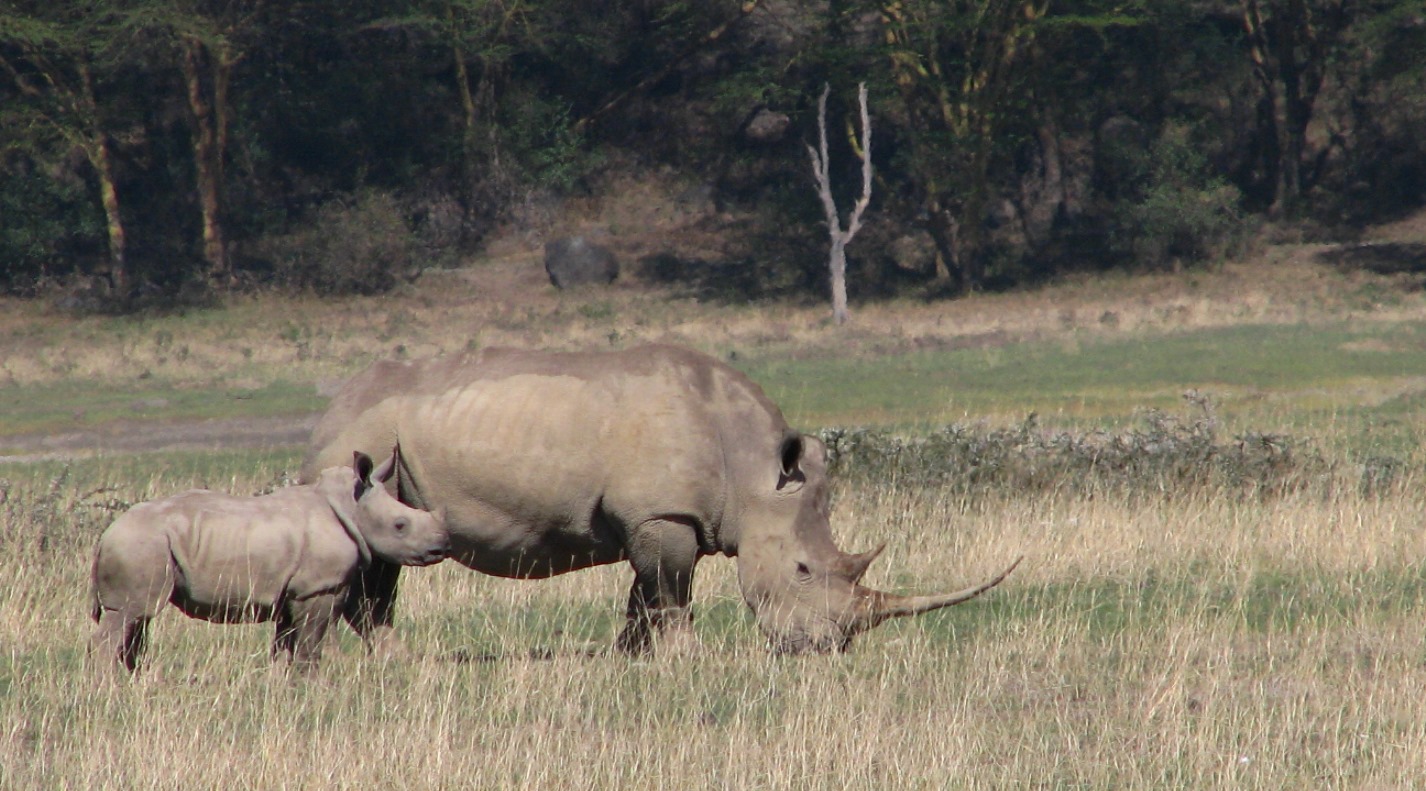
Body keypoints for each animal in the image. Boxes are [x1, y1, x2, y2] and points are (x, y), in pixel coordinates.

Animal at [90, 447, 444, 678]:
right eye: (401, 525)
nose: (440, 546)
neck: (352, 505)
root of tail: (105, 536)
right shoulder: (316, 589)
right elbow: (310, 643)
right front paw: (312, 685)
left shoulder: (292, 592)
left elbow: (284, 643)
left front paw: (278, 685)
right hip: (140, 545)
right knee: (128, 615)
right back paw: (111, 688)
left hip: (145, 547)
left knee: (138, 620)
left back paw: (136, 680)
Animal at [300, 346, 1021, 655]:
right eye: (802, 570)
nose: (824, 648)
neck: (753, 468)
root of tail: (335, 399)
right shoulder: (661, 514)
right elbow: (671, 592)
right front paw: (685, 660)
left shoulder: (666, 518)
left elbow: (645, 594)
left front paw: (630, 658)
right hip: (365, 440)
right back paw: (393, 658)